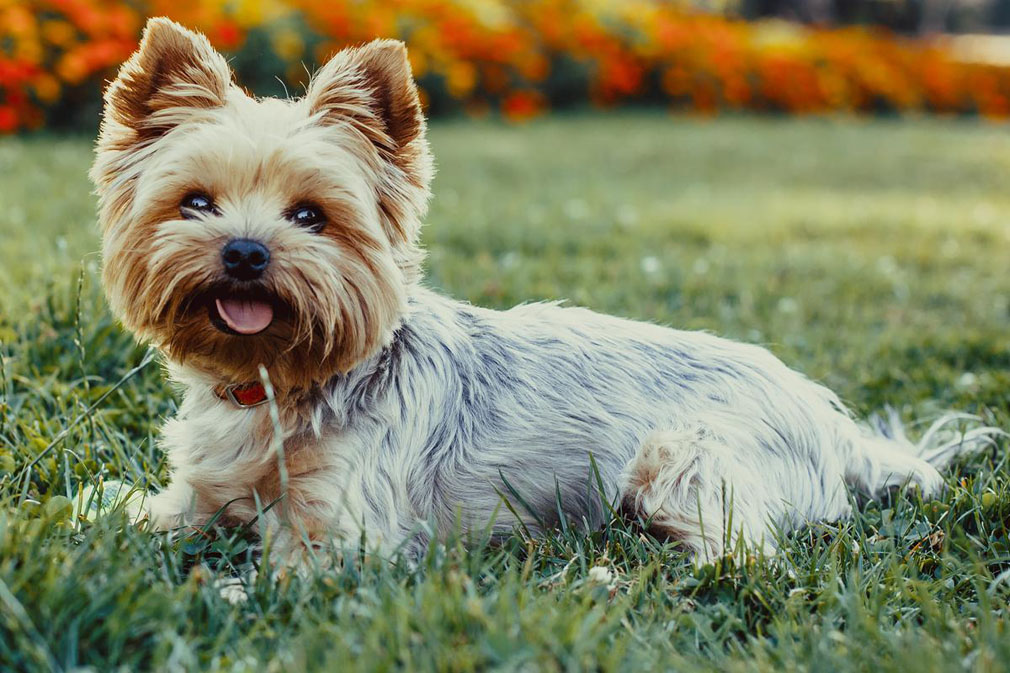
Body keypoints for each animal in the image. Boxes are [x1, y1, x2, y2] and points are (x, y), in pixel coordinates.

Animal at [94, 18, 1001, 561]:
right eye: (196, 202)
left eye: (311, 216)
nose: (246, 251)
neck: (276, 382)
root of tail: (834, 420)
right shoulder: (196, 493)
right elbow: (140, 512)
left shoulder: (342, 532)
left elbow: (277, 569)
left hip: (680, 459)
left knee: (744, 551)